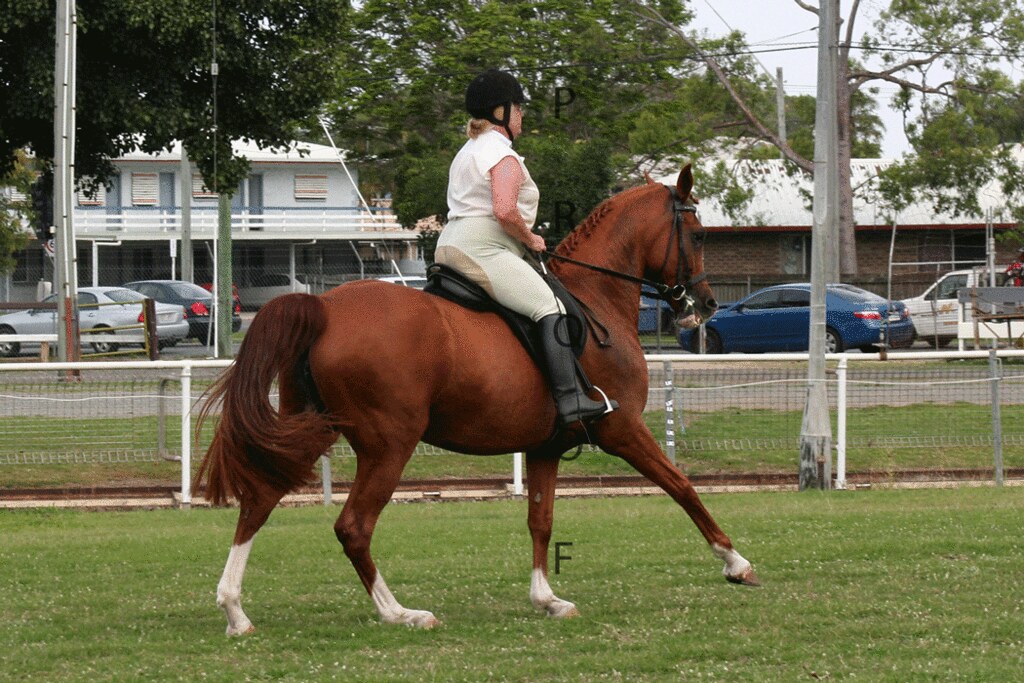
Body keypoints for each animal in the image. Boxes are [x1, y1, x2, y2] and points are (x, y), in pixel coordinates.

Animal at [194, 164, 760, 635]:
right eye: (699, 235)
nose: (706, 304)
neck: (597, 299)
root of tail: (324, 308)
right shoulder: (622, 429)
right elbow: (681, 485)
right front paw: (735, 563)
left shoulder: (547, 446)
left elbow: (540, 519)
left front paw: (547, 599)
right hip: (388, 444)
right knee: (353, 526)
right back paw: (400, 613)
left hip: (310, 426)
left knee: (260, 499)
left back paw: (235, 611)